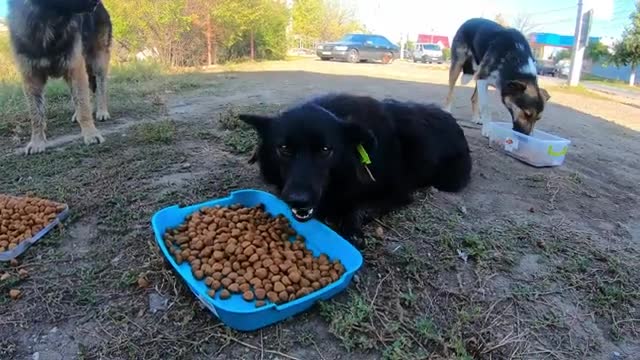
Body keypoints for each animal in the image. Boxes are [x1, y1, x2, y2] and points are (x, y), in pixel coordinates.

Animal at [8, 0, 110, 155]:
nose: (96, 2)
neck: (47, 22)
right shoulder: (31, 78)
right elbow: (36, 114)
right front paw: (37, 142)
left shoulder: (75, 67)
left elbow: (83, 106)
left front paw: (91, 134)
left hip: (98, 60)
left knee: (100, 87)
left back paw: (102, 111)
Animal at [239, 93, 470, 242]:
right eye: (284, 148)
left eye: (325, 149)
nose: (299, 200)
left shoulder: (397, 194)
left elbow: (360, 206)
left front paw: (351, 227)